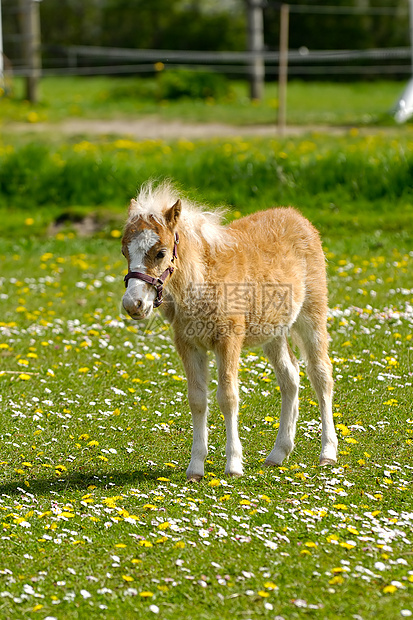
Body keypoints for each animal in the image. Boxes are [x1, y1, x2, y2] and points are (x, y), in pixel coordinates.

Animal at [120, 182, 336, 478]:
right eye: (125, 252)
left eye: (161, 252)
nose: (133, 304)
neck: (201, 281)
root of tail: (297, 216)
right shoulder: (188, 344)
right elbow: (197, 399)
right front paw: (195, 467)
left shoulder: (229, 340)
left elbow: (228, 397)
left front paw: (233, 464)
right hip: (273, 330)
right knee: (290, 377)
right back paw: (278, 453)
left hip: (311, 316)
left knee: (320, 374)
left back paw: (328, 453)